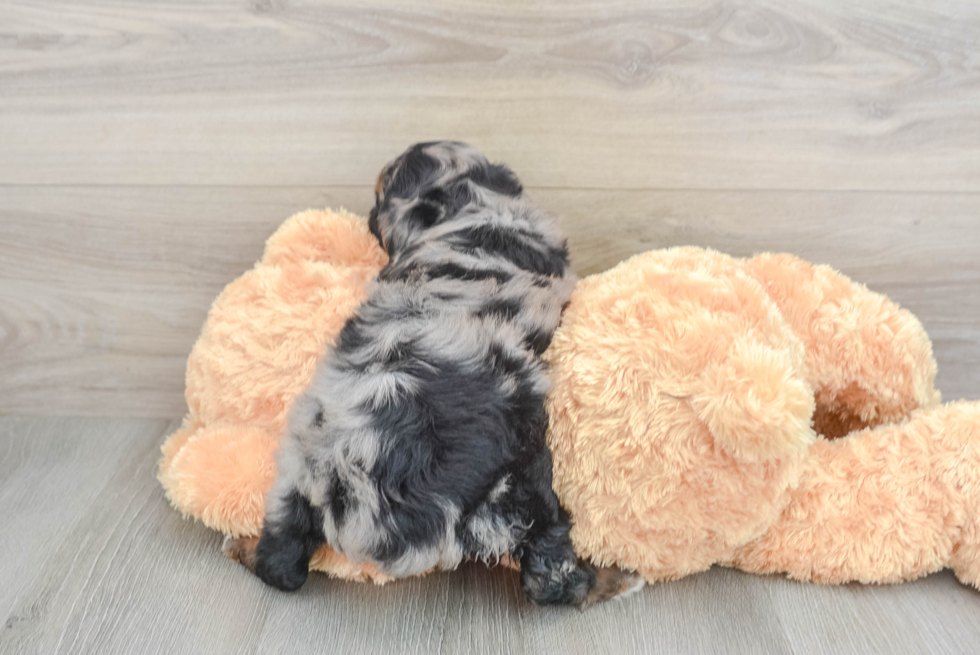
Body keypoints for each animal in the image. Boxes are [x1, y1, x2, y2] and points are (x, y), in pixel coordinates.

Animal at [224, 141, 644, 608]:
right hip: (527, 476)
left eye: (379, 195)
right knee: (551, 571)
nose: (369, 216)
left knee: (280, 561)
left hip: (293, 480)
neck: (473, 199)